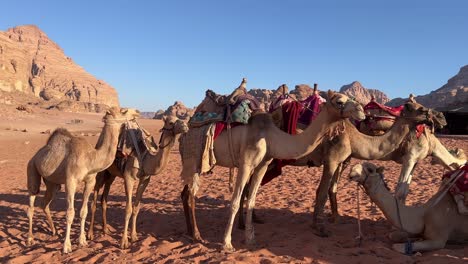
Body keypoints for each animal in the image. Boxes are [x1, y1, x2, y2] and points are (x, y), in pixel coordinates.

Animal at [26, 107, 139, 254]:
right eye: (123, 111)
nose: (137, 113)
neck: (90, 158)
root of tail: (35, 155)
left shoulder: (90, 181)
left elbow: (83, 211)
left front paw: (82, 241)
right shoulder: (71, 181)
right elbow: (70, 213)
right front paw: (67, 246)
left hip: (52, 182)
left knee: (45, 203)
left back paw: (54, 231)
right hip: (32, 167)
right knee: (31, 202)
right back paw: (30, 239)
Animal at [87, 114, 189, 249]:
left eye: (179, 118)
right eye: (171, 122)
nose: (185, 126)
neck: (145, 157)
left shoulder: (145, 180)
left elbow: (136, 208)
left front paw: (134, 236)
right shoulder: (129, 178)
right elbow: (128, 209)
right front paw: (123, 242)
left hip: (111, 175)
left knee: (104, 198)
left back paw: (105, 230)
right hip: (101, 171)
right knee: (94, 199)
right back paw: (90, 234)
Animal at [181, 89, 368, 252]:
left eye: (352, 99)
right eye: (339, 101)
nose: (361, 111)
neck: (271, 136)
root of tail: (187, 126)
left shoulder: (262, 165)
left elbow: (251, 201)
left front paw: (251, 240)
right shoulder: (246, 163)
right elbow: (235, 201)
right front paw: (227, 244)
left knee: (186, 193)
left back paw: (192, 233)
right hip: (194, 158)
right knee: (190, 192)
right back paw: (197, 235)